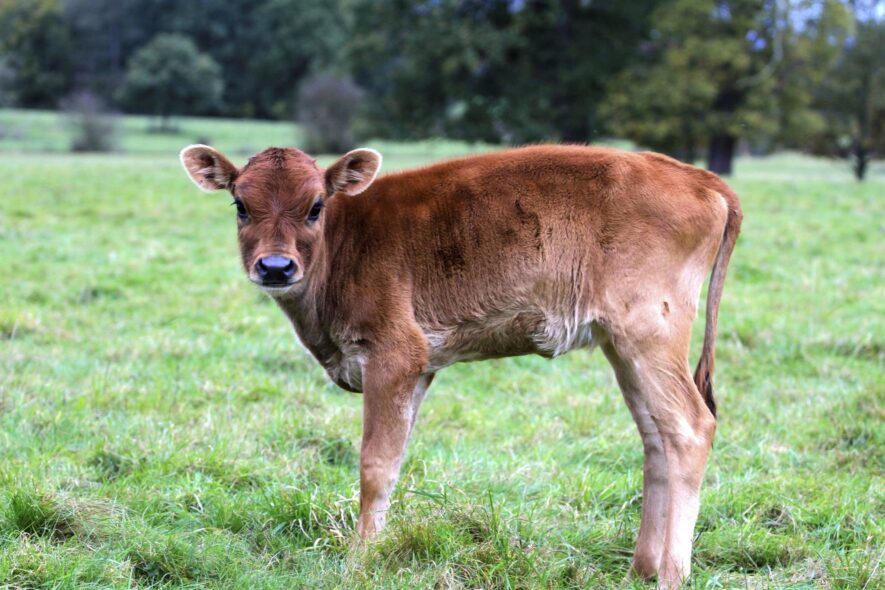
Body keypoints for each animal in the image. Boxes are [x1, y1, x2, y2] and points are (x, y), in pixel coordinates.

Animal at [180, 142, 740, 588]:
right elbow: (395, 460)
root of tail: (695, 176)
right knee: (655, 438)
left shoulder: (394, 355)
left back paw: (671, 575)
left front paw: (359, 562)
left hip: (650, 336)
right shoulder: (419, 368)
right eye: (240, 205)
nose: (275, 267)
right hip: (623, 347)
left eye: (316, 206)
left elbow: (374, 465)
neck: (345, 243)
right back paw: (640, 569)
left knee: (689, 427)